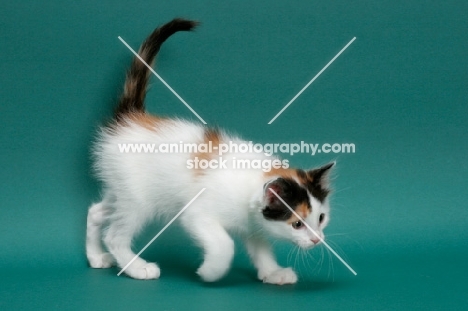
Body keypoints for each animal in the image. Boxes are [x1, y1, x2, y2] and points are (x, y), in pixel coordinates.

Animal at [86, 17, 334, 286]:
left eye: (321, 218)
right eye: (297, 224)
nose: (317, 240)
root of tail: (129, 119)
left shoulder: (252, 222)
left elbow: (260, 246)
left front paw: (272, 272)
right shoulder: (197, 214)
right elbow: (224, 245)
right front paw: (210, 271)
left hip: (121, 189)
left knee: (96, 212)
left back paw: (96, 257)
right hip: (138, 198)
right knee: (114, 235)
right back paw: (136, 267)